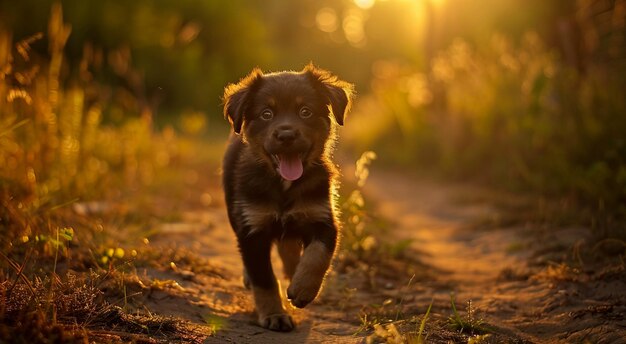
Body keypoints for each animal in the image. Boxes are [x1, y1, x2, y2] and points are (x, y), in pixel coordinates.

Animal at [222, 63, 354, 330]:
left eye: (305, 112)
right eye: (266, 114)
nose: (286, 135)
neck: (284, 185)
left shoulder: (324, 219)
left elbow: (318, 255)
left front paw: (303, 288)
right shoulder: (252, 229)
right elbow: (264, 279)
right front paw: (275, 314)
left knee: (290, 247)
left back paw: (294, 272)